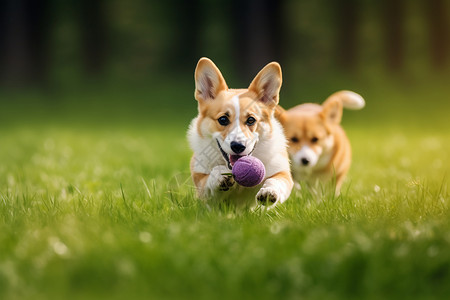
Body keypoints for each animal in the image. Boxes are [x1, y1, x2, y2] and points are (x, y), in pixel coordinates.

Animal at [187, 57, 296, 207]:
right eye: (223, 119)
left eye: (251, 120)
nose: (238, 146)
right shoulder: (203, 188)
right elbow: (210, 178)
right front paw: (220, 174)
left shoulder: (282, 172)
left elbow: (275, 181)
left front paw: (269, 192)